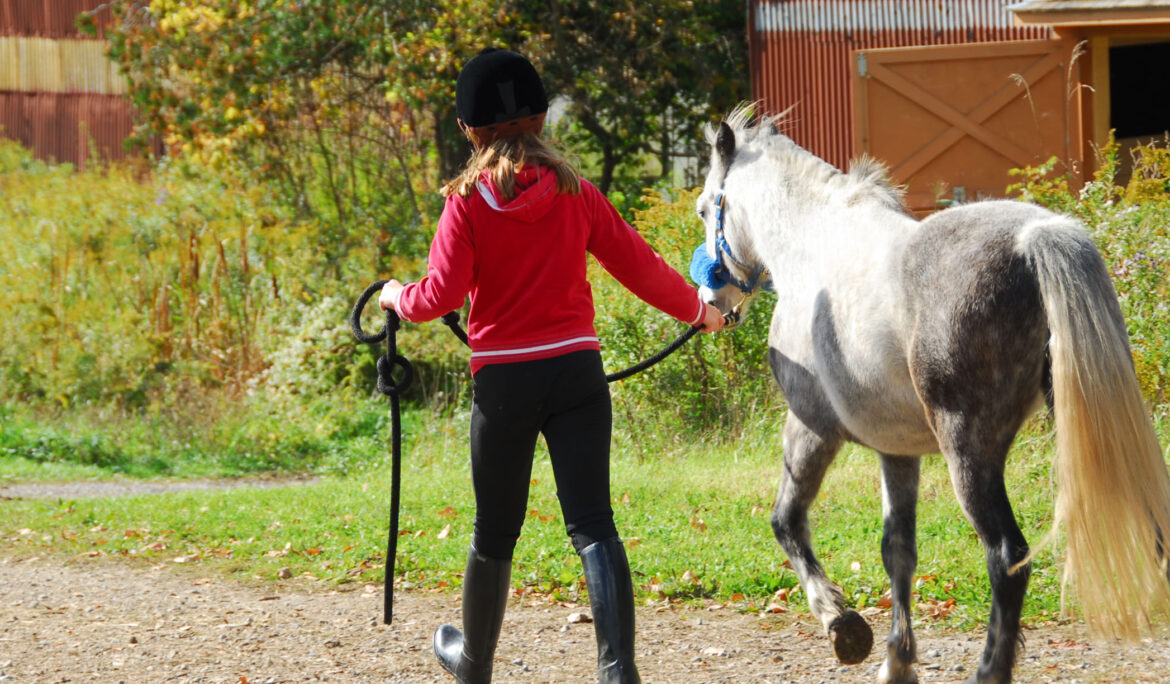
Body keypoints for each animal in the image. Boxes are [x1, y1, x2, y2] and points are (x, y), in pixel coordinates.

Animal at [692, 106, 1170, 684]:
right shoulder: (897, 452)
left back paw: (989, 671)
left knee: (1006, 556)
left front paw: (842, 625)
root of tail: (1035, 236)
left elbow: (786, 521)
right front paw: (896, 662)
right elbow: (898, 550)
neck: (815, 245)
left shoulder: (810, 428)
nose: (712, 300)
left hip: (968, 450)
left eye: (704, 209)